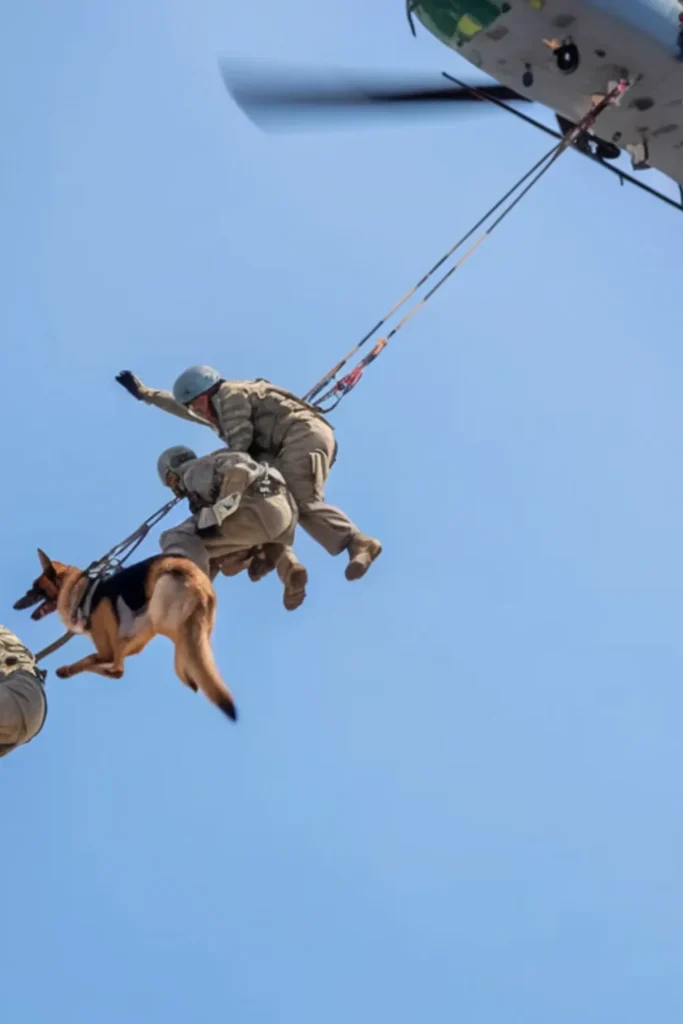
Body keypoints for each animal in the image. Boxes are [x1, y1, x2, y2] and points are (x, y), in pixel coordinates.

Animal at [12, 552, 237, 720]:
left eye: (35, 588)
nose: (15, 605)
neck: (81, 591)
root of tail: (198, 581)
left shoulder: (109, 641)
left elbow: (101, 658)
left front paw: (69, 669)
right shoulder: (126, 644)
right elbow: (100, 661)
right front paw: (68, 670)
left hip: (160, 612)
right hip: (185, 629)